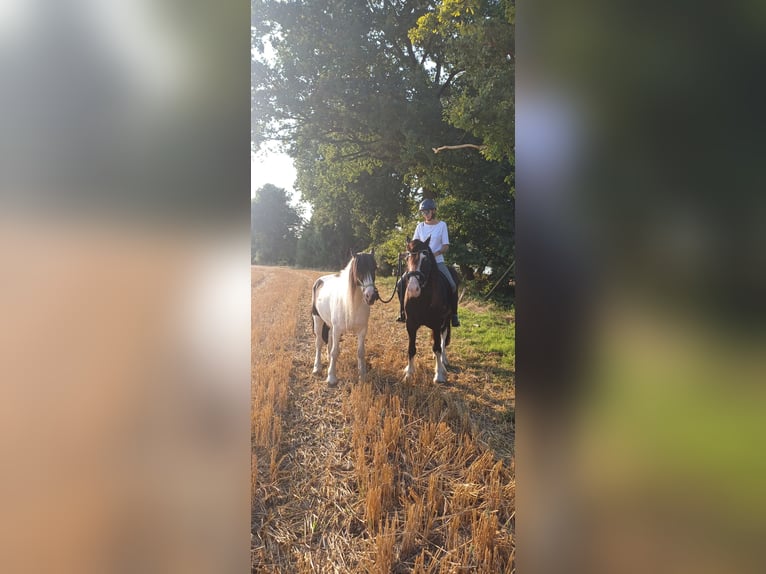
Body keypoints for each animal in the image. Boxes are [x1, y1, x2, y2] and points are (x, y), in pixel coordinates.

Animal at [312, 251, 378, 388]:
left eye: (375, 268)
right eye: (358, 269)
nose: (371, 296)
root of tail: (319, 281)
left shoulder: (362, 330)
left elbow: (360, 352)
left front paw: (362, 376)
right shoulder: (338, 329)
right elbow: (335, 351)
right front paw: (331, 378)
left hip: (330, 326)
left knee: (329, 340)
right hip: (318, 320)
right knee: (319, 343)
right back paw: (317, 368)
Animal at [402, 237, 462, 382]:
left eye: (425, 259)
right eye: (407, 258)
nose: (413, 289)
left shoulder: (436, 323)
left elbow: (437, 347)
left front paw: (439, 374)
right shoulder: (410, 324)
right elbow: (411, 348)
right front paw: (409, 373)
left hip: (446, 320)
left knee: (443, 340)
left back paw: (444, 361)